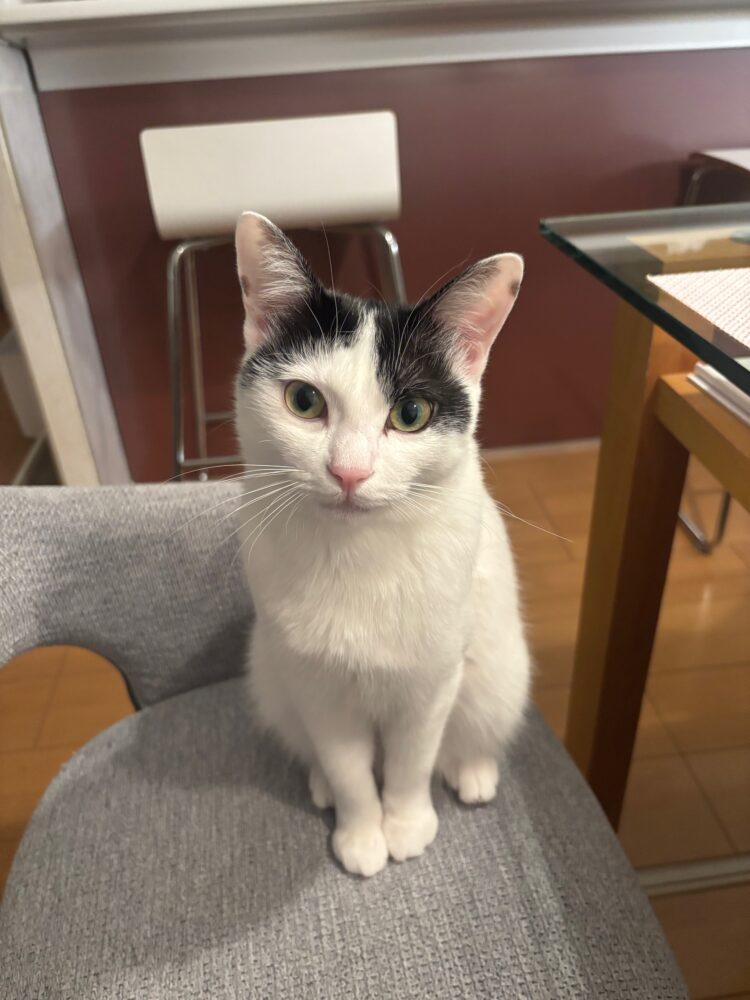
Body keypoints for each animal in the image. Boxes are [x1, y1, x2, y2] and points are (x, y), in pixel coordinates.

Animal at [234, 212, 530, 877]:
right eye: (304, 401)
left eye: (412, 413)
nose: (349, 472)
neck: (358, 552)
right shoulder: (313, 684)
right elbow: (348, 766)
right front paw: (362, 831)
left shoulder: (432, 679)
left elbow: (412, 759)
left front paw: (408, 823)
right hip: (270, 675)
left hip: (499, 668)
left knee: (476, 726)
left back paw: (473, 768)